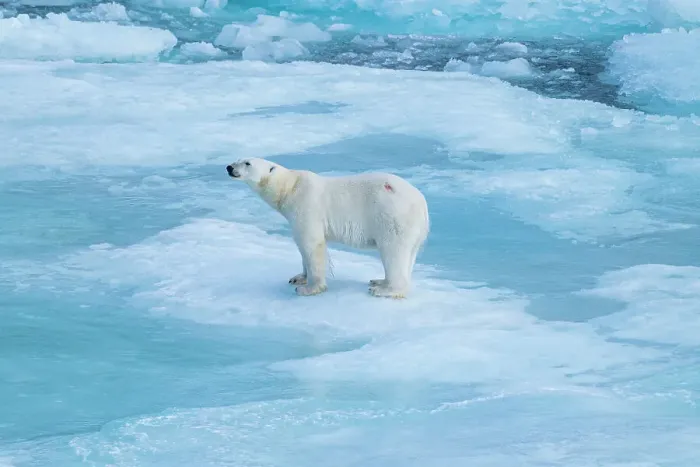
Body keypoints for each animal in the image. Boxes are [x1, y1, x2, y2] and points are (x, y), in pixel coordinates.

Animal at [225, 158, 430, 298]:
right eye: (239, 159)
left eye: (247, 163)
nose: (229, 167)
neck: (290, 187)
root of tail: (422, 204)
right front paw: (298, 277)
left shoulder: (306, 206)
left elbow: (311, 244)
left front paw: (308, 288)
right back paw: (380, 280)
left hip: (392, 218)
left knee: (393, 252)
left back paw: (384, 289)